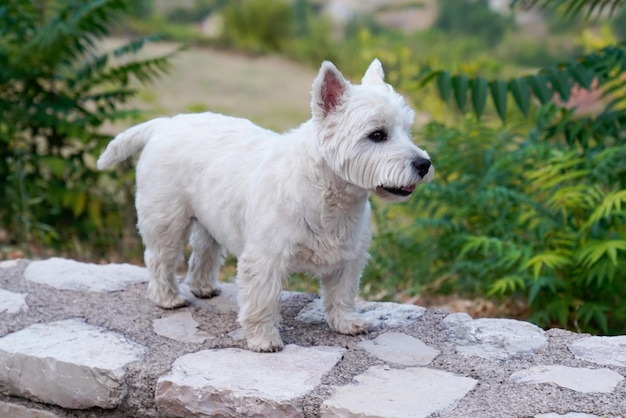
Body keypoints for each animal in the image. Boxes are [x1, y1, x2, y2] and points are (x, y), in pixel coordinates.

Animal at [97, 58, 434, 352]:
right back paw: (168, 298)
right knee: (160, 258)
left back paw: (203, 286)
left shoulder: (348, 256)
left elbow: (342, 293)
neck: (330, 194)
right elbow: (262, 300)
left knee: (204, 250)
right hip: (166, 218)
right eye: (377, 135)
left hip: (210, 215)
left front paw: (347, 323)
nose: (424, 164)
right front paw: (264, 340)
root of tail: (164, 125)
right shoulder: (265, 258)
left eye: (407, 130)